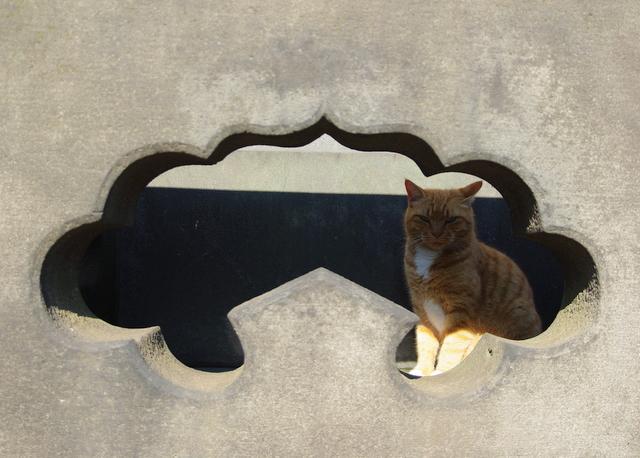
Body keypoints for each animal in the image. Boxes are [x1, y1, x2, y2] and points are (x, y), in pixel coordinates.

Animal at [403, 179, 542, 376]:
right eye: (424, 218)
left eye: (451, 219)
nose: (436, 233)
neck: (429, 257)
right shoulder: (423, 311)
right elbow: (425, 344)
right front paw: (422, 370)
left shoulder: (461, 313)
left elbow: (451, 346)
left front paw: (442, 371)